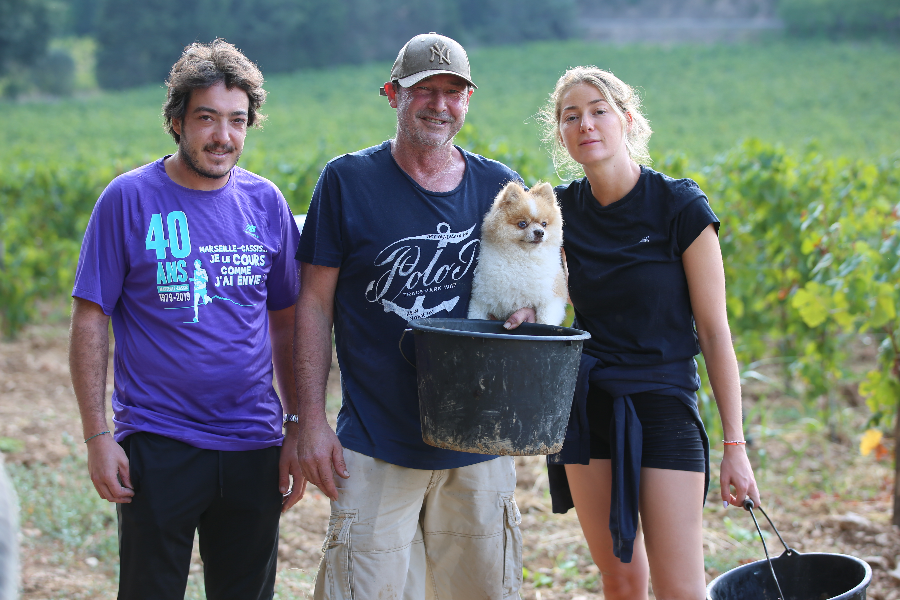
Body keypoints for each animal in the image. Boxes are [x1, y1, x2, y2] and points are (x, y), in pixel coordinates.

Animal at [468, 180, 568, 326]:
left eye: (544, 224)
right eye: (522, 224)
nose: (539, 232)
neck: (523, 258)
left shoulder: (552, 297)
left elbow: (545, 320)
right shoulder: (480, 300)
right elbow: (475, 316)